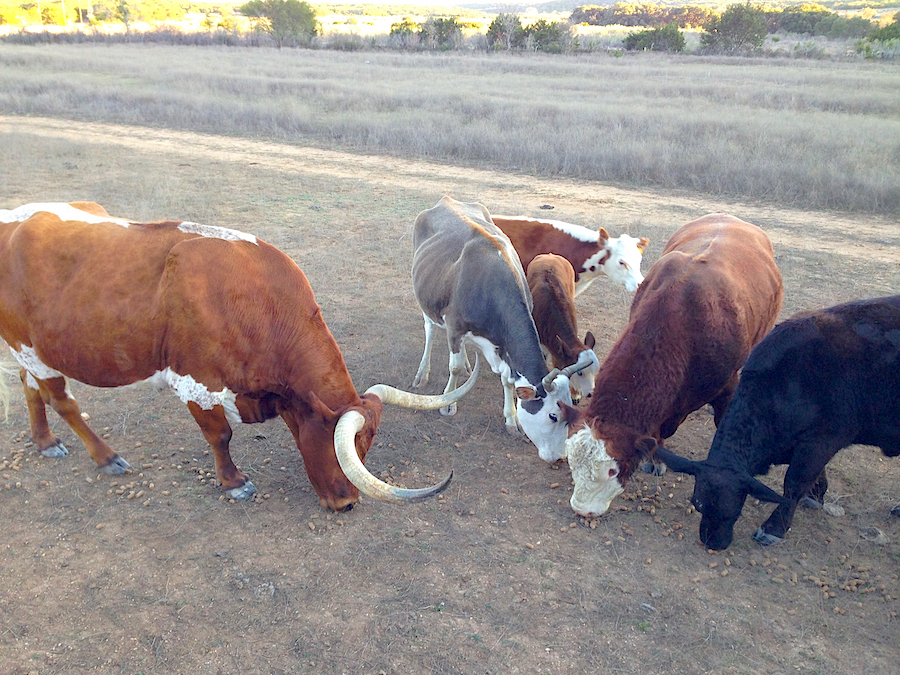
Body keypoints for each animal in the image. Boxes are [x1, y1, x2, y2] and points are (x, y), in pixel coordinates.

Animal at [0, 201, 482, 512]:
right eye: (347, 445)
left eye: (370, 445)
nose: (347, 503)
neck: (255, 301)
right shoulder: (195, 383)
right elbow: (220, 435)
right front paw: (233, 483)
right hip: (33, 350)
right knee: (64, 401)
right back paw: (106, 456)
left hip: (27, 350)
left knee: (30, 388)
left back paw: (44, 441)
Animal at [412, 197, 588, 460]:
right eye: (553, 415)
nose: (560, 456)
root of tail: (447, 200)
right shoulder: (454, 326)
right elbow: (453, 367)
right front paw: (449, 403)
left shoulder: (503, 343)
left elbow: (507, 380)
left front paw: (511, 420)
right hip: (428, 300)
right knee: (431, 331)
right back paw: (423, 373)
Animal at [656, 296, 900, 548]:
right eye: (698, 505)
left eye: (733, 513)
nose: (712, 543)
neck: (787, 383)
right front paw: (816, 494)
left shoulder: (823, 441)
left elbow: (794, 483)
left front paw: (774, 527)